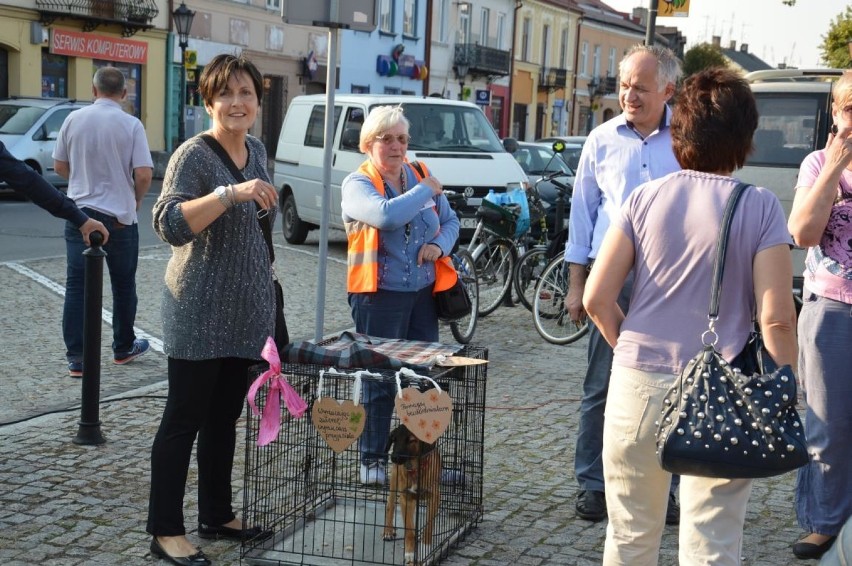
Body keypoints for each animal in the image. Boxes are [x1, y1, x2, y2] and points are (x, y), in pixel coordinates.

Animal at [382, 424, 442, 564]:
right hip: (394, 480)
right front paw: (410, 553)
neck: (415, 470)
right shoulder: (405, 498)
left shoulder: (435, 497)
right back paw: (388, 530)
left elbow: (428, 526)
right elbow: (409, 530)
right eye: (394, 439)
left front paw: (425, 549)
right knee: (390, 504)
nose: (394, 457)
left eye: (411, 440)